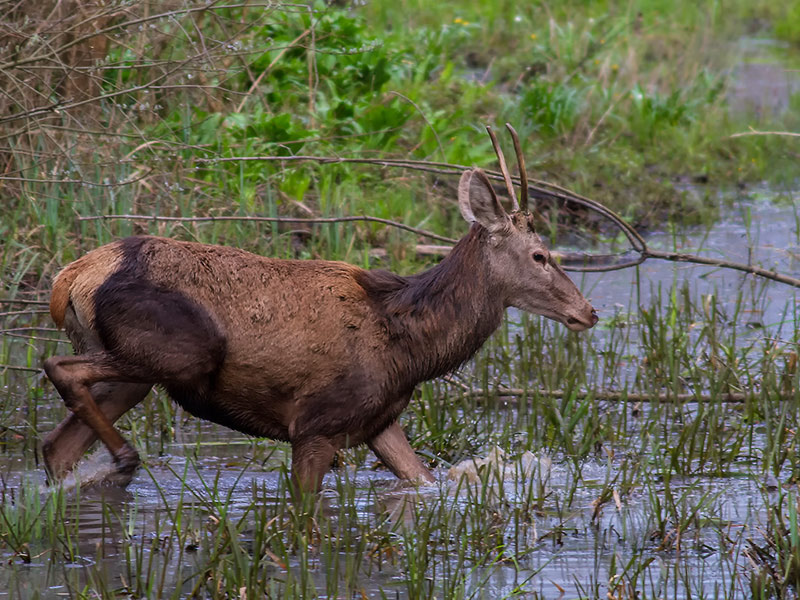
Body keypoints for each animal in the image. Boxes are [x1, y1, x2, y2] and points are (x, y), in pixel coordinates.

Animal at [42, 124, 592, 494]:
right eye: (540, 255)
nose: (588, 311)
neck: (410, 346)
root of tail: (71, 279)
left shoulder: (377, 422)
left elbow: (424, 479)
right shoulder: (315, 424)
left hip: (137, 370)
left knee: (54, 445)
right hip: (177, 351)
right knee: (58, 368)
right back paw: (124, 460)